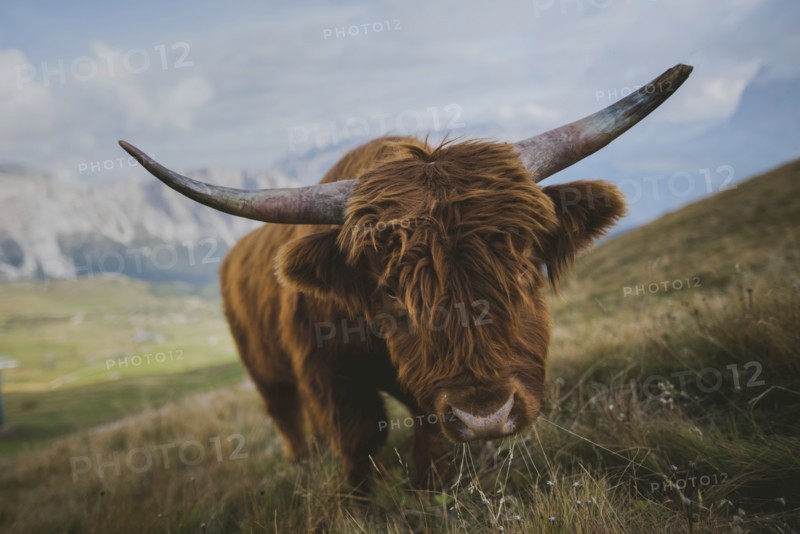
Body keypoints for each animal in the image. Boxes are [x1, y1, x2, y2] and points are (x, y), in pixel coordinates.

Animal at [120, 64, 692, 490]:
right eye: (392, 289)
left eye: (526, 262)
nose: (486, 416)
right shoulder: (329, 377)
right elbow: (358, 445)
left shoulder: (429, 394)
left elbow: (429, 439)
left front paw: (430, 489)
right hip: (266, 373)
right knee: (288, 420)